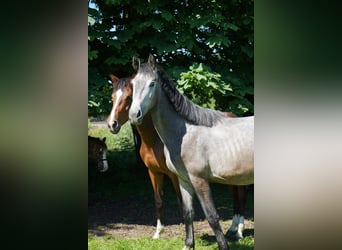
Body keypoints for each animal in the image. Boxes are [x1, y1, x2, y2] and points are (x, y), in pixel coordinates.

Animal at [128, 55, 254, 250]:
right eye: (133, 84)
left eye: (152, 83)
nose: (135, 115)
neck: (185, 133)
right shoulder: (183, 180)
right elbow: (188, 213)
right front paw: (188, 245)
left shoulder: (199, 180)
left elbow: (212, 216)